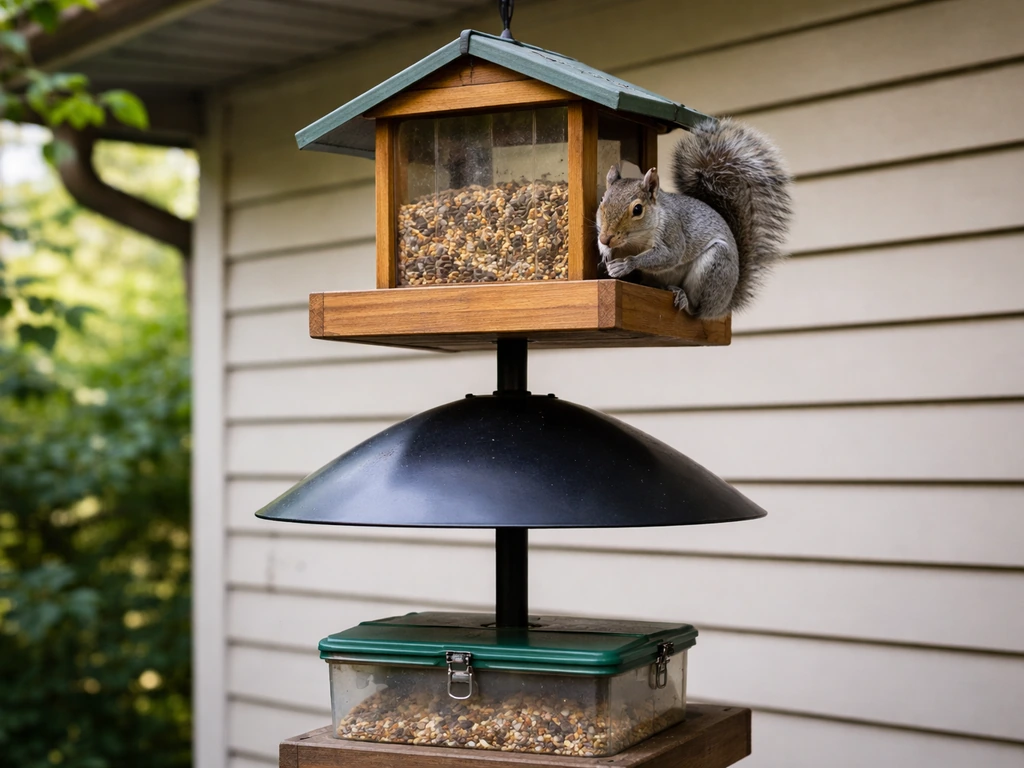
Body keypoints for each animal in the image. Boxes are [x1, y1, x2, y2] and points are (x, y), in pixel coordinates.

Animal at [596, 118, 793, 320]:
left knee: (697, 311)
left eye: (637, 209)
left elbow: (670, 254)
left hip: (713, 269)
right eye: (602, 201)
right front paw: (604, 250)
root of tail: (724, 304)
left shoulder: (672, 231)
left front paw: (626, 264)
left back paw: (684, 299)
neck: (635, 239)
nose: (605, 238)